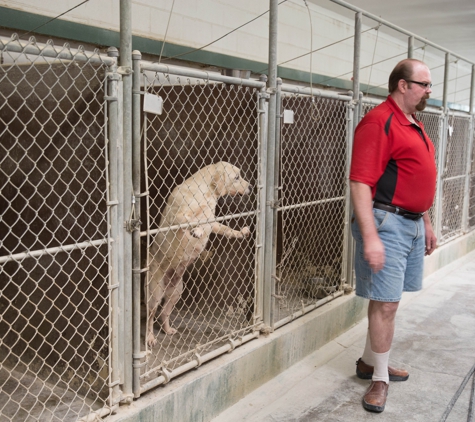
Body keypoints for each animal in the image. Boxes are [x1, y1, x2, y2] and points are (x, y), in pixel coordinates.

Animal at [148, 161, 253, 346]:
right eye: (236, 177)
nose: (250, 187)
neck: (208, 192)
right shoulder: (178, 216)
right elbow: (190, 220)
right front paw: (196, 230)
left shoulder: (213, 223)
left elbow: (226, 229)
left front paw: (240, 232)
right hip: (155, 295)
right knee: (150, 317)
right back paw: (149, 337)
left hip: (176, 292)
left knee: (163, 313)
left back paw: (167, 330)